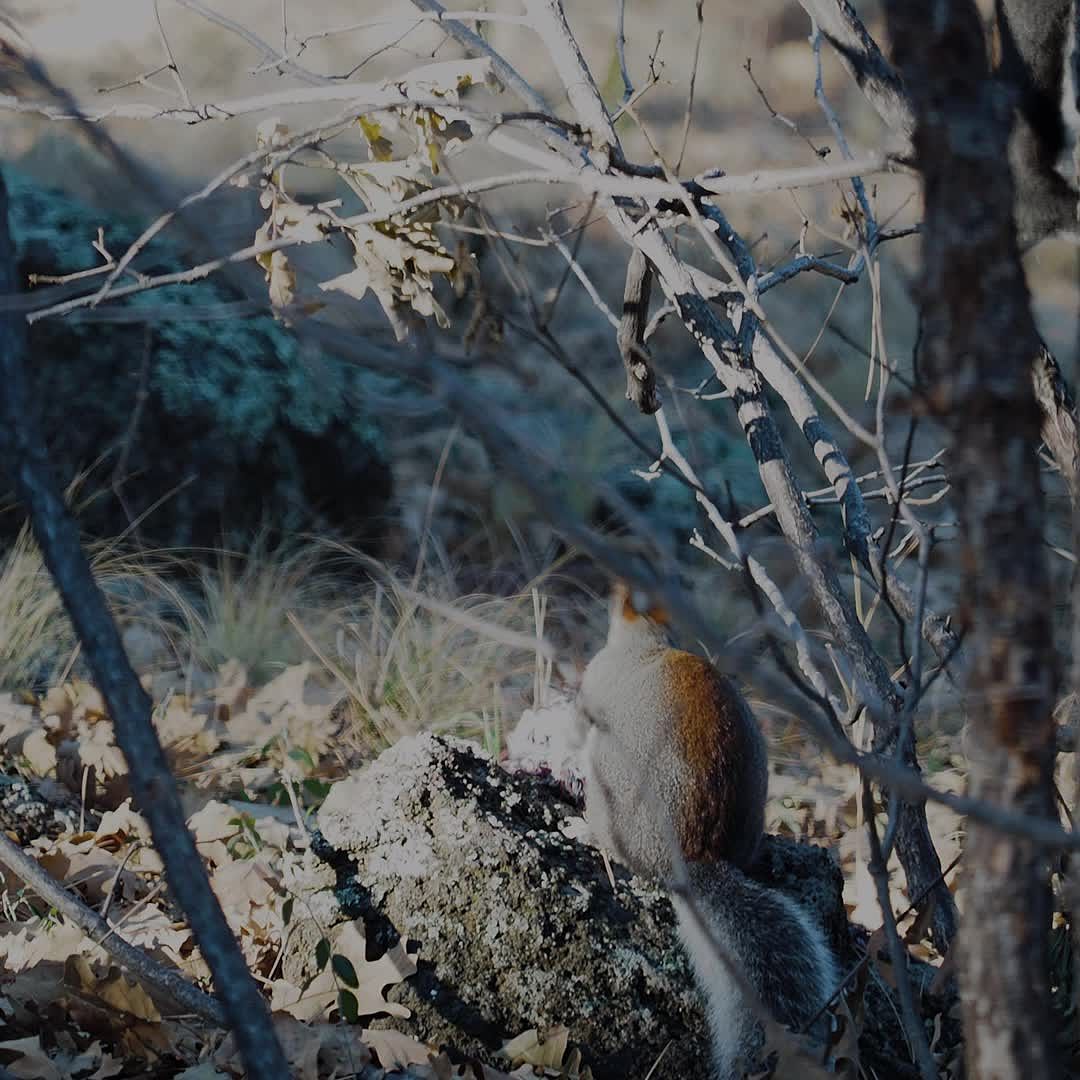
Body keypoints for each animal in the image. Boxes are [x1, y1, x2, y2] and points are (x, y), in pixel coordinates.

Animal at [577, 581, 837, 1080]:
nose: (612, 587)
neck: (654, 641)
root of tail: (696, 855)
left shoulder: (597, 677)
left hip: (608, 788)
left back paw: (582, 829)